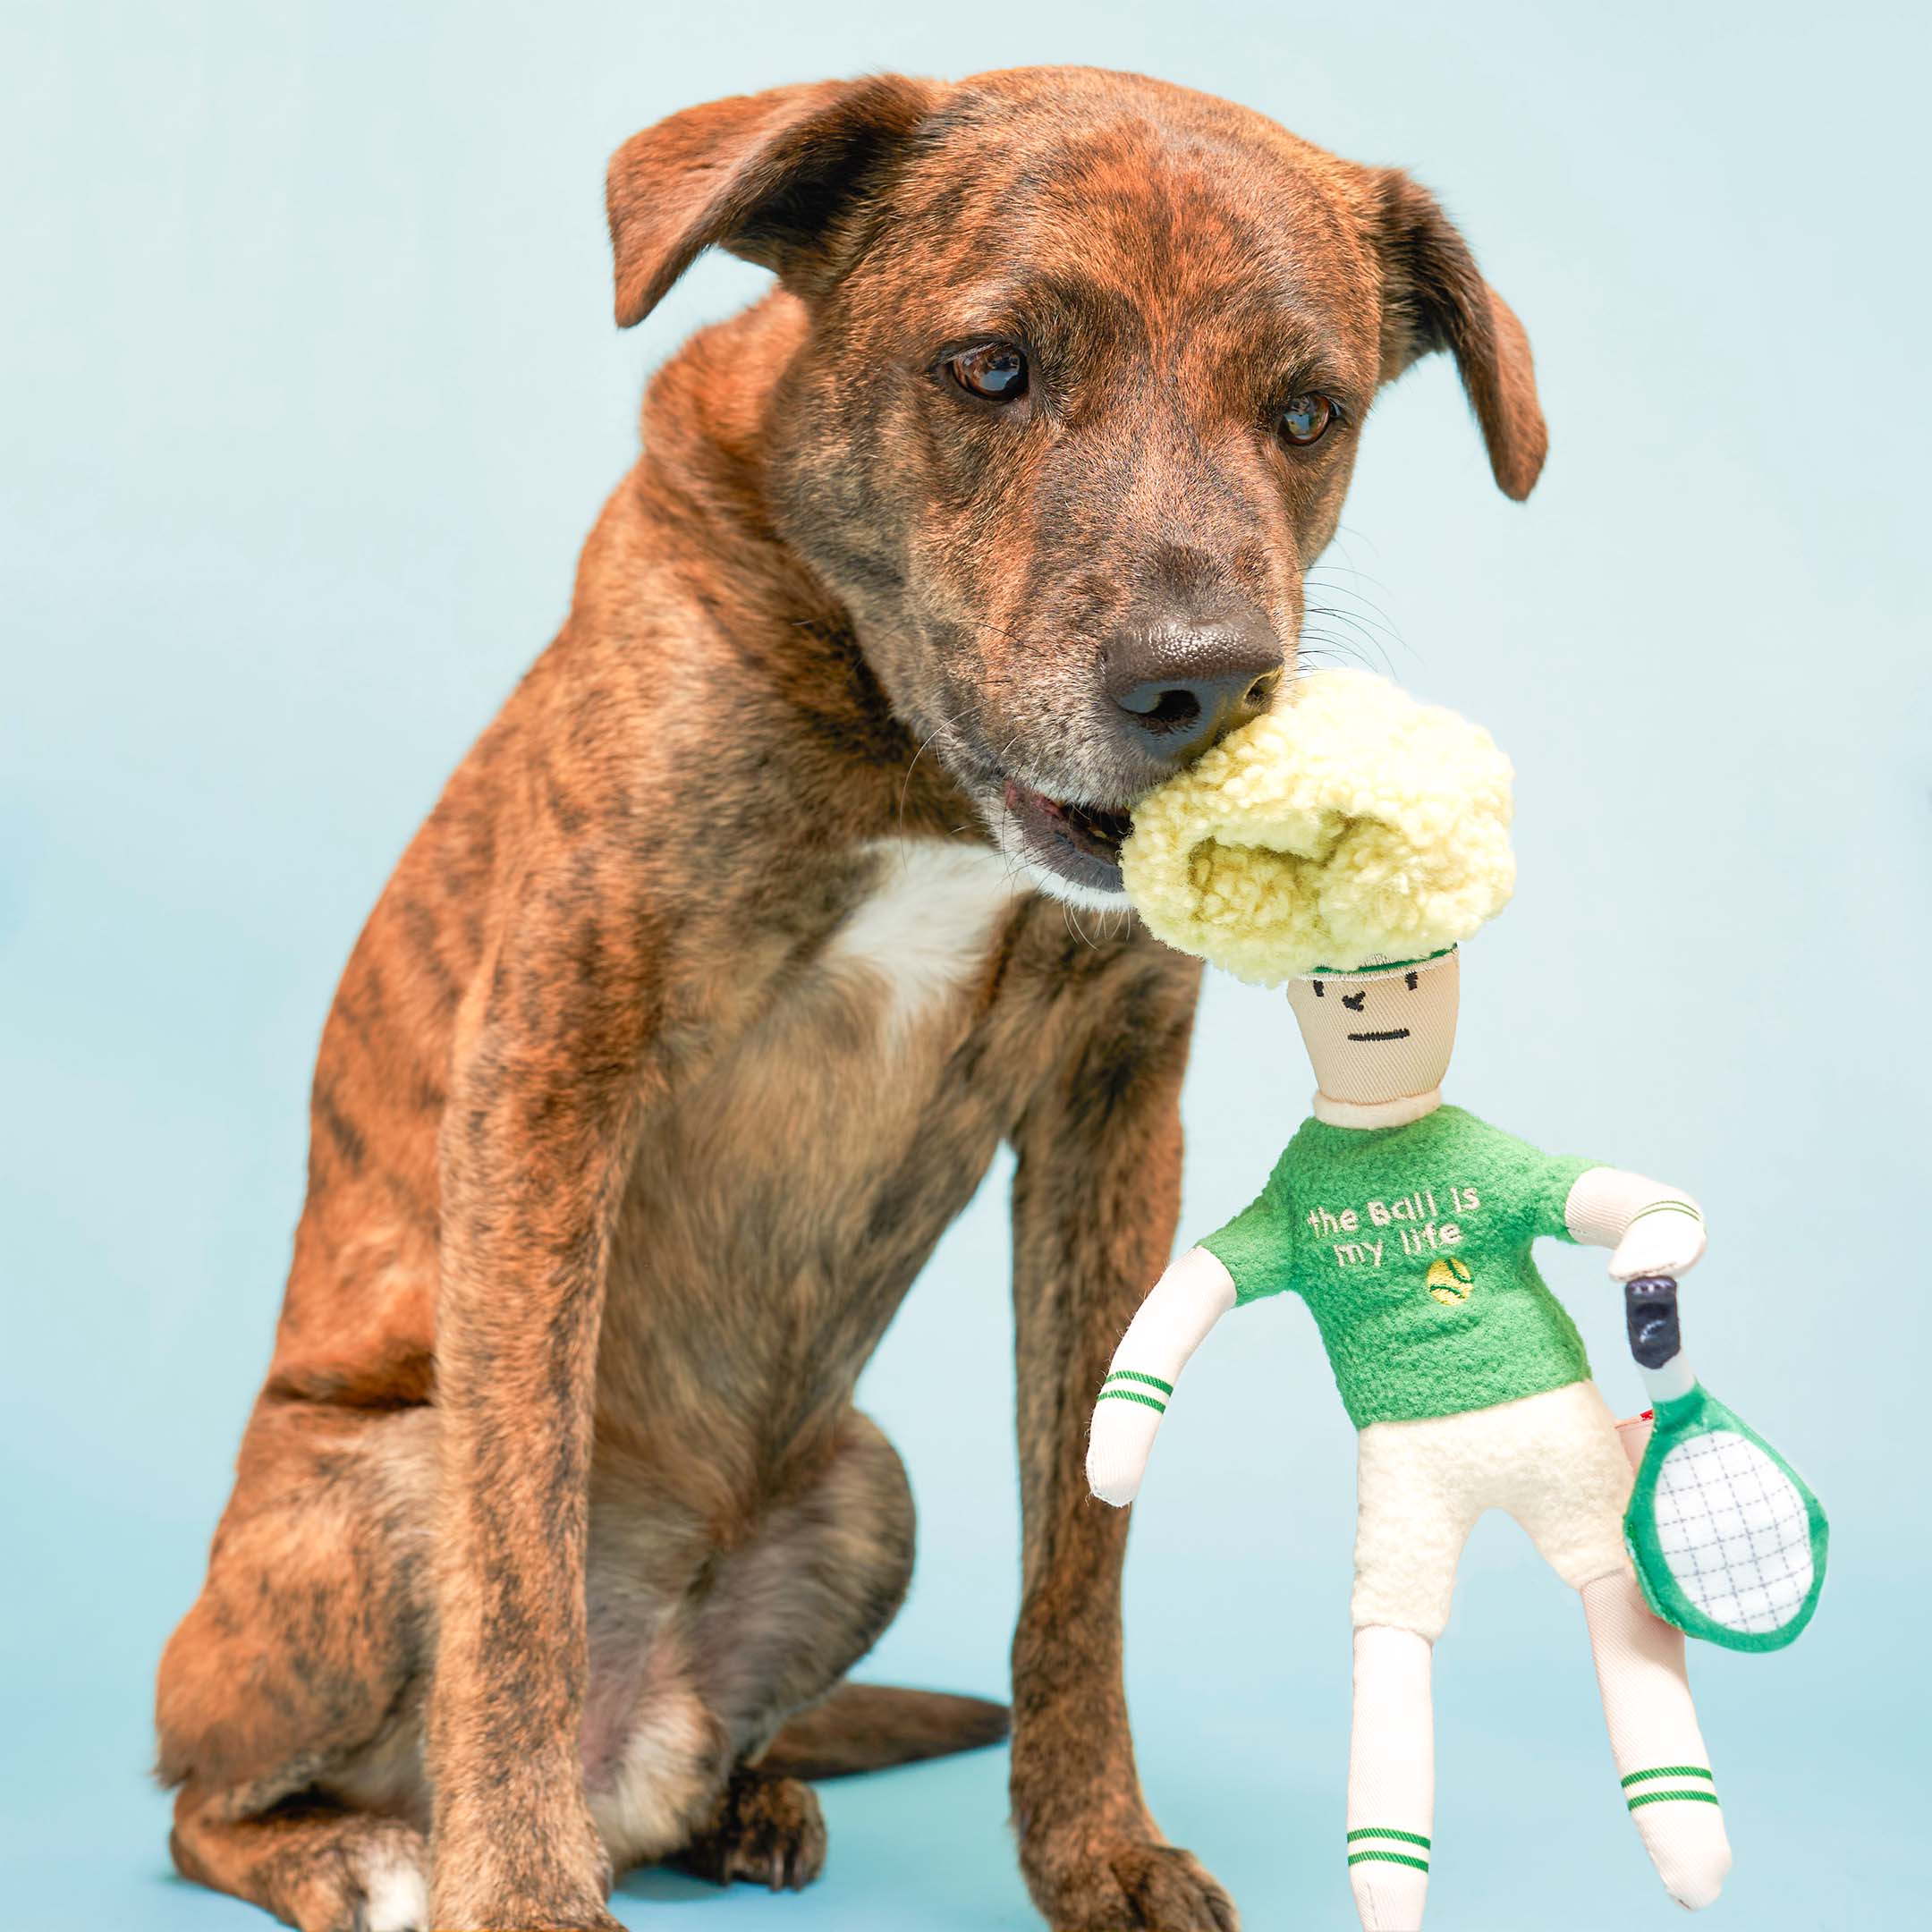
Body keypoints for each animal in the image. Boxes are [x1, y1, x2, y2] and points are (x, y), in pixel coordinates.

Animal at [154, 60, 1538, 1932]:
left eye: (1310, 414)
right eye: (992, 368)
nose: (1202, 685)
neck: (914, 765)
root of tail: (640, 1737)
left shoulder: (1113, 1118)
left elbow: (1081, 1549)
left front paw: (1097, 1848)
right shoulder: (551, 1071)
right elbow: (515, 1558)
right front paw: (514, 1893)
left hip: (866, 1487)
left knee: (699, 1757)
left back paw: (745, 1800)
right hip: (365, 1497)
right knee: (208, 1798)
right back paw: (373, 1850)